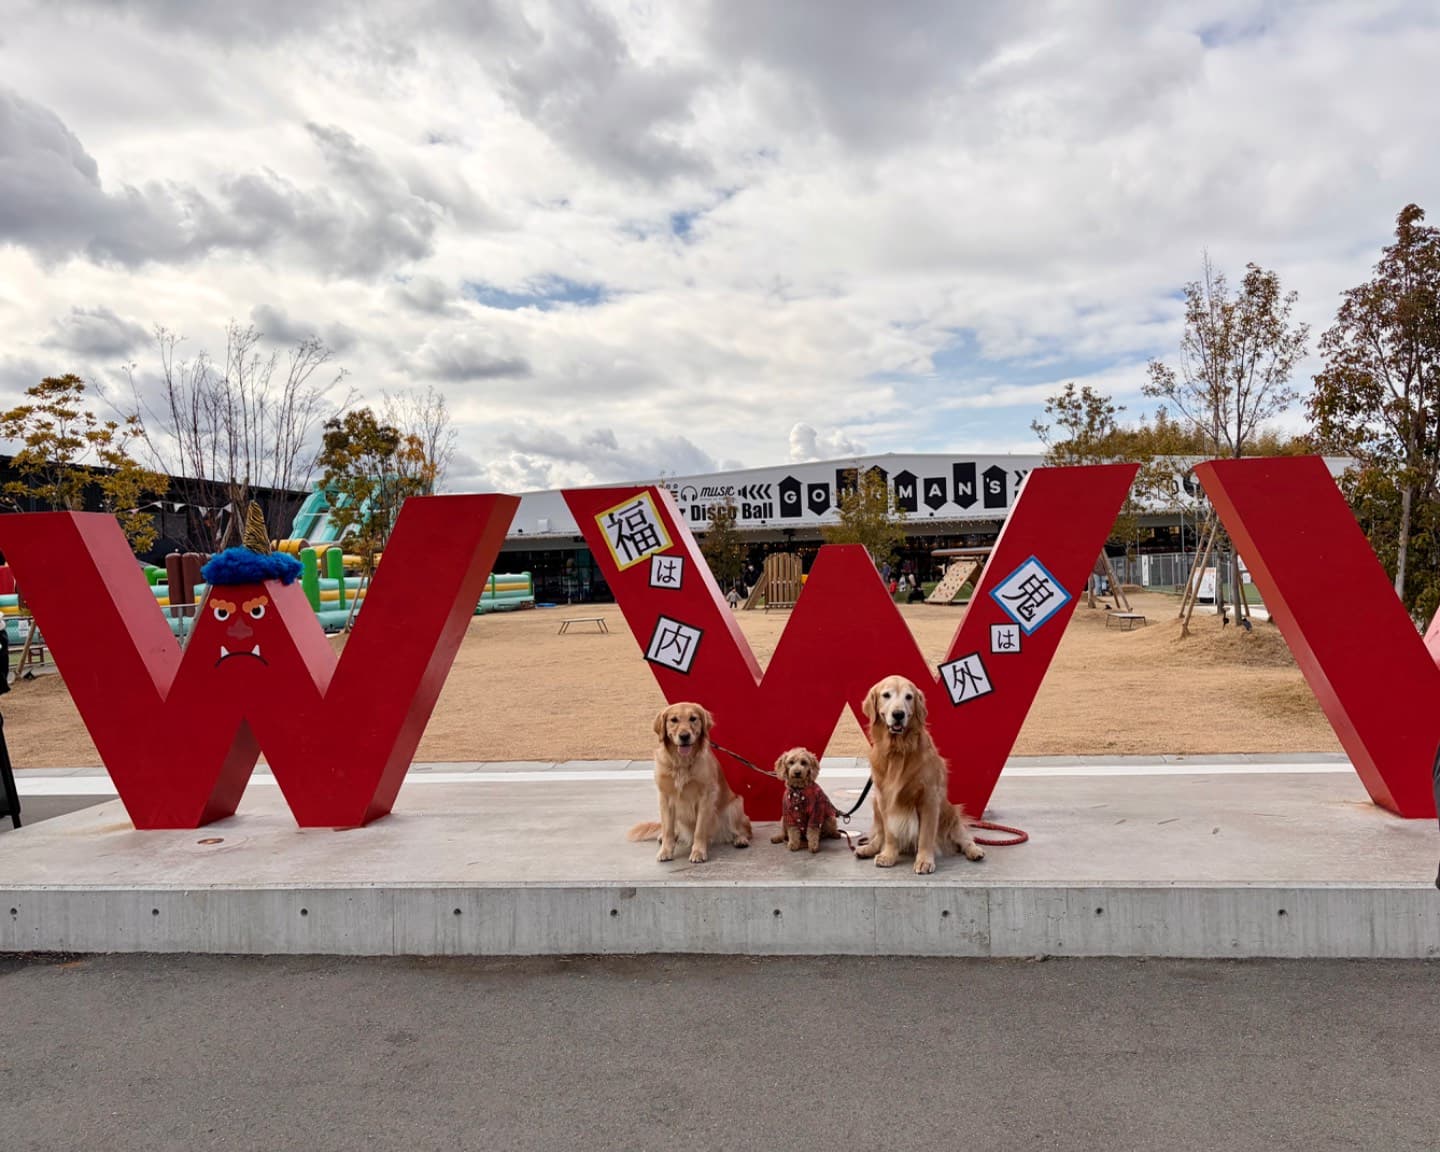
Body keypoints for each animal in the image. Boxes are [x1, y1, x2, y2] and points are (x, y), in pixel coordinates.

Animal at [627, 702, 752, 863]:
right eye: (673, 720)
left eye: (693, 718)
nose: (684, 736)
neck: (681, 763)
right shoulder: (665, 797)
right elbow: (667, 829)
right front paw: (665, 851)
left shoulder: (705, 797)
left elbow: (699, 830)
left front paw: (698, 852)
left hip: (735, 804)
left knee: (743, 830)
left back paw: (740, 839)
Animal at [855, 674, 985, 874]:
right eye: (886, 695)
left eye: (909, 697)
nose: (898, 714)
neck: (898, 750)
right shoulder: (885, 799)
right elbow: (889, 833)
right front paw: (888, 855)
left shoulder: (929, 798)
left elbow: (925, 835)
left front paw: (924, 861)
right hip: (875, 803)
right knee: (879, 835)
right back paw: (868, 848)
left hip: (951, 815)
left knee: (965, 839)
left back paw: (975, 851)